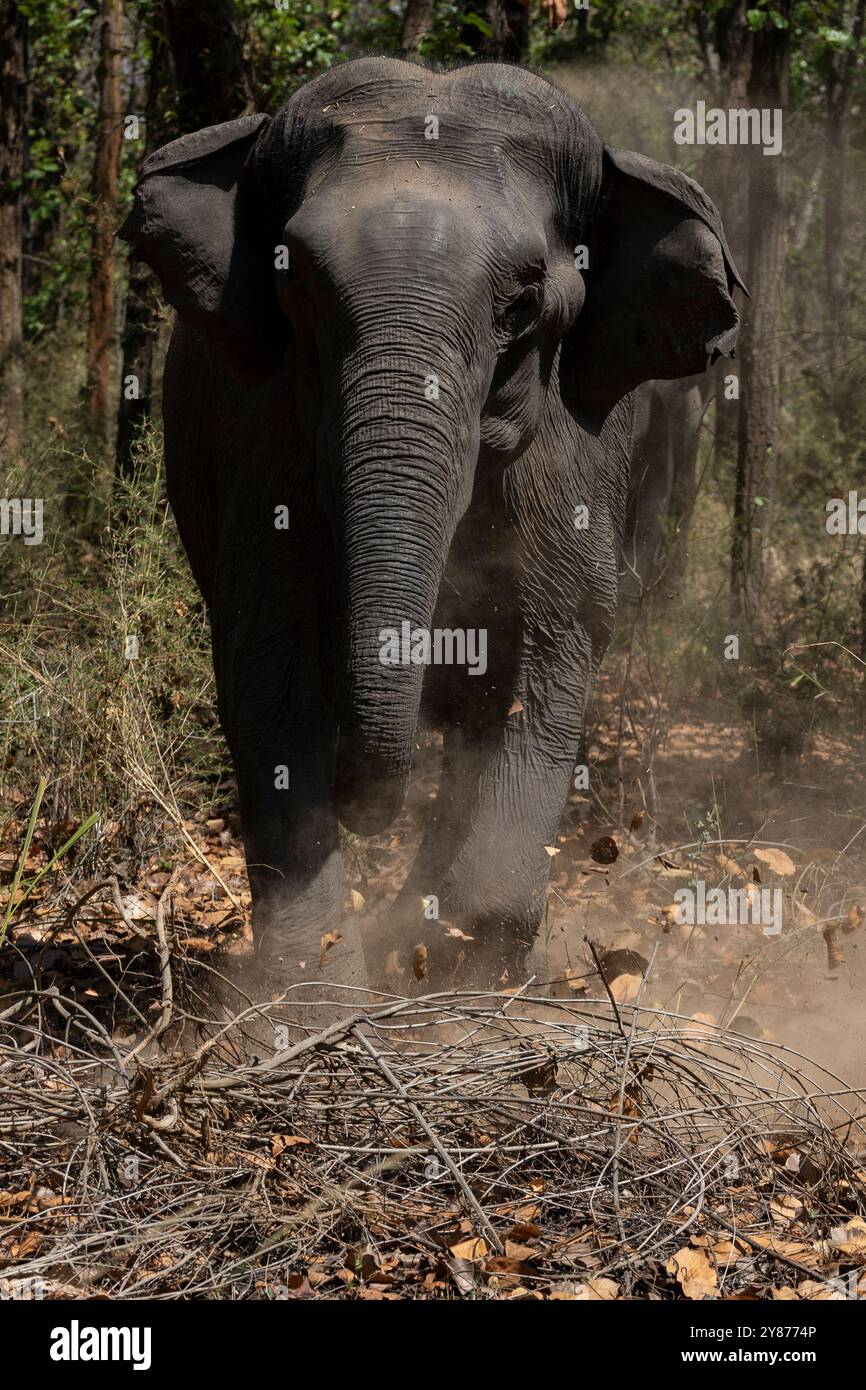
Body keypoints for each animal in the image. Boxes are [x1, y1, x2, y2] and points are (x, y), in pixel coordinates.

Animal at [120, 56, 743, 999]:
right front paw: (310, 1002)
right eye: (297, 282)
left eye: (522, 304)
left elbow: (559, 643)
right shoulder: (262, 429)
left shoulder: (577, 446)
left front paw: (471, 972)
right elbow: (265, 651)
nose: (361, 795)